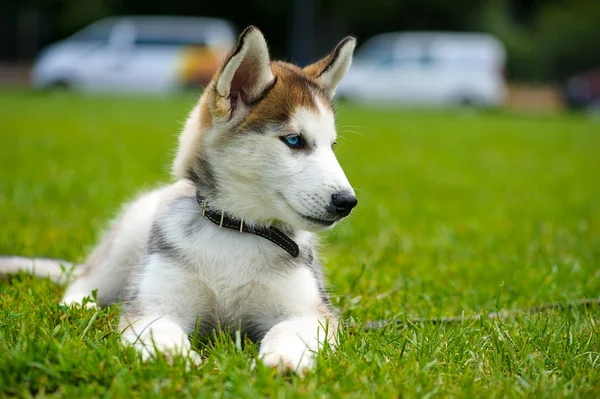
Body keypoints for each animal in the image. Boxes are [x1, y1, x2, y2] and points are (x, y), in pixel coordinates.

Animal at [0, 26, 356, 374]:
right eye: (294, 140)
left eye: (332, 146)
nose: (347, 202)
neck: (235, 229)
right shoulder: (152, 306)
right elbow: (159, 329)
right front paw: (172, 357)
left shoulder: (311, 311)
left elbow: (290, 330)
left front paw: (283, 360)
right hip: (126, 243)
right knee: (86, 280)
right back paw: (76, 306)